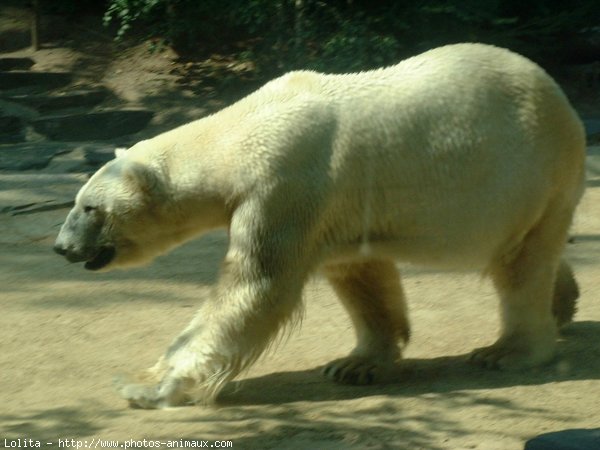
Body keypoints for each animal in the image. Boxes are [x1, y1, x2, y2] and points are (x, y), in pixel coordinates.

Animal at [54, 43, 584, 408]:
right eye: (77, 202)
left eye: (89, 208)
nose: (62, 247)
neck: (240, 133)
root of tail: (560, 97)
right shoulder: (340, 206)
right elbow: (360, 274)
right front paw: (355, 364)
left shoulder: (284, 183)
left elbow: (256, 284)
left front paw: (144, 386)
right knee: (532, 256)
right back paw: (565, 302)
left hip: (534, 175)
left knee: (522, 263)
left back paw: (506, 351)